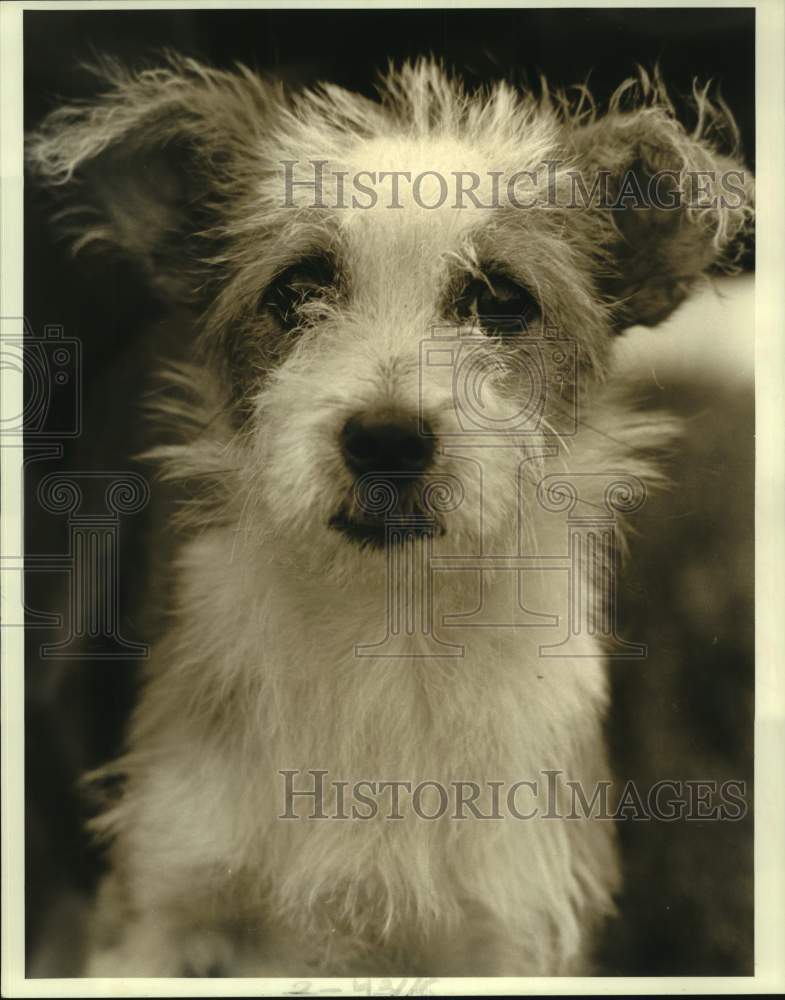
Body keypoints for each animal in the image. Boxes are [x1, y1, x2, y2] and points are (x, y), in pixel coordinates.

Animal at [29, 56, 752, 976]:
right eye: (297, 288)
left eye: (501, 301)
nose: (385, 441)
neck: (388, 628)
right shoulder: (158, 907)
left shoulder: (505, 931)